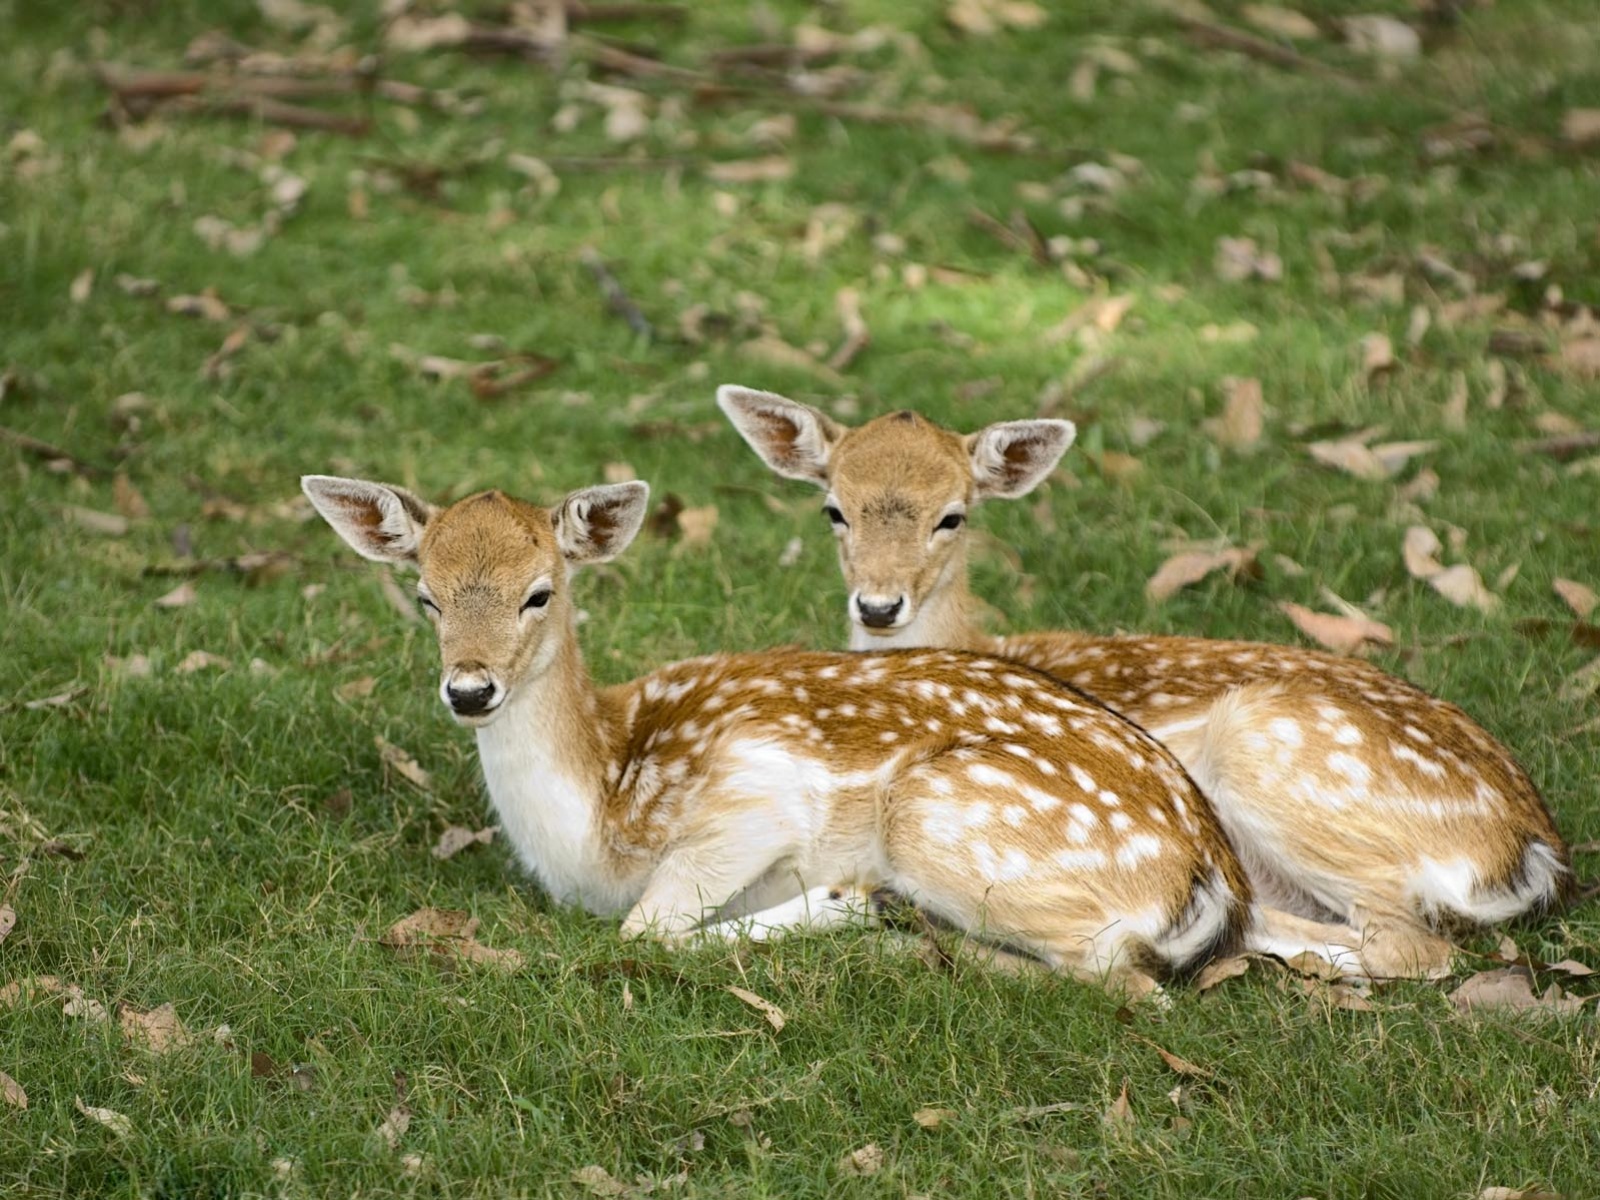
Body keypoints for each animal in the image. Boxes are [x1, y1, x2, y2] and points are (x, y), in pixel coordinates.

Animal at [301, 473, 1254, 992]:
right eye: (425, 595)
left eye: (540, 592)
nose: (470, 690)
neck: (596, 812)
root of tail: (1211, 876)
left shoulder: (753, 788)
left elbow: (643, 931)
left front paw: (836, 902)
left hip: (943, 817)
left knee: (1120, 978)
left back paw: (888, 925)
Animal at [718, 385, 1572, 981]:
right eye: (834, 509)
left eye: (952, 516)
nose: (879, 605)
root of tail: (1535, 852)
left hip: (1276, 758)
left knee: (1403, 948)